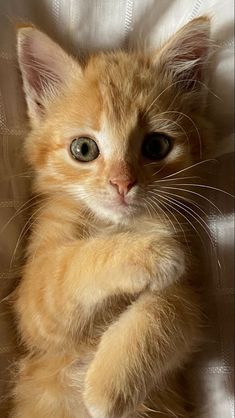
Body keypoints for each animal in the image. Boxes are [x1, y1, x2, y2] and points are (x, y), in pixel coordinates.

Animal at [11, 16, 212, 418]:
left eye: (156, 146)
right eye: (83, 149)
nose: (123, 183)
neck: (117, 225)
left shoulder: (192, 296)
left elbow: (169, 309)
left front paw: (109, 387)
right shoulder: (32, 303)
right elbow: (69, 268)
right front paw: (148, 253)